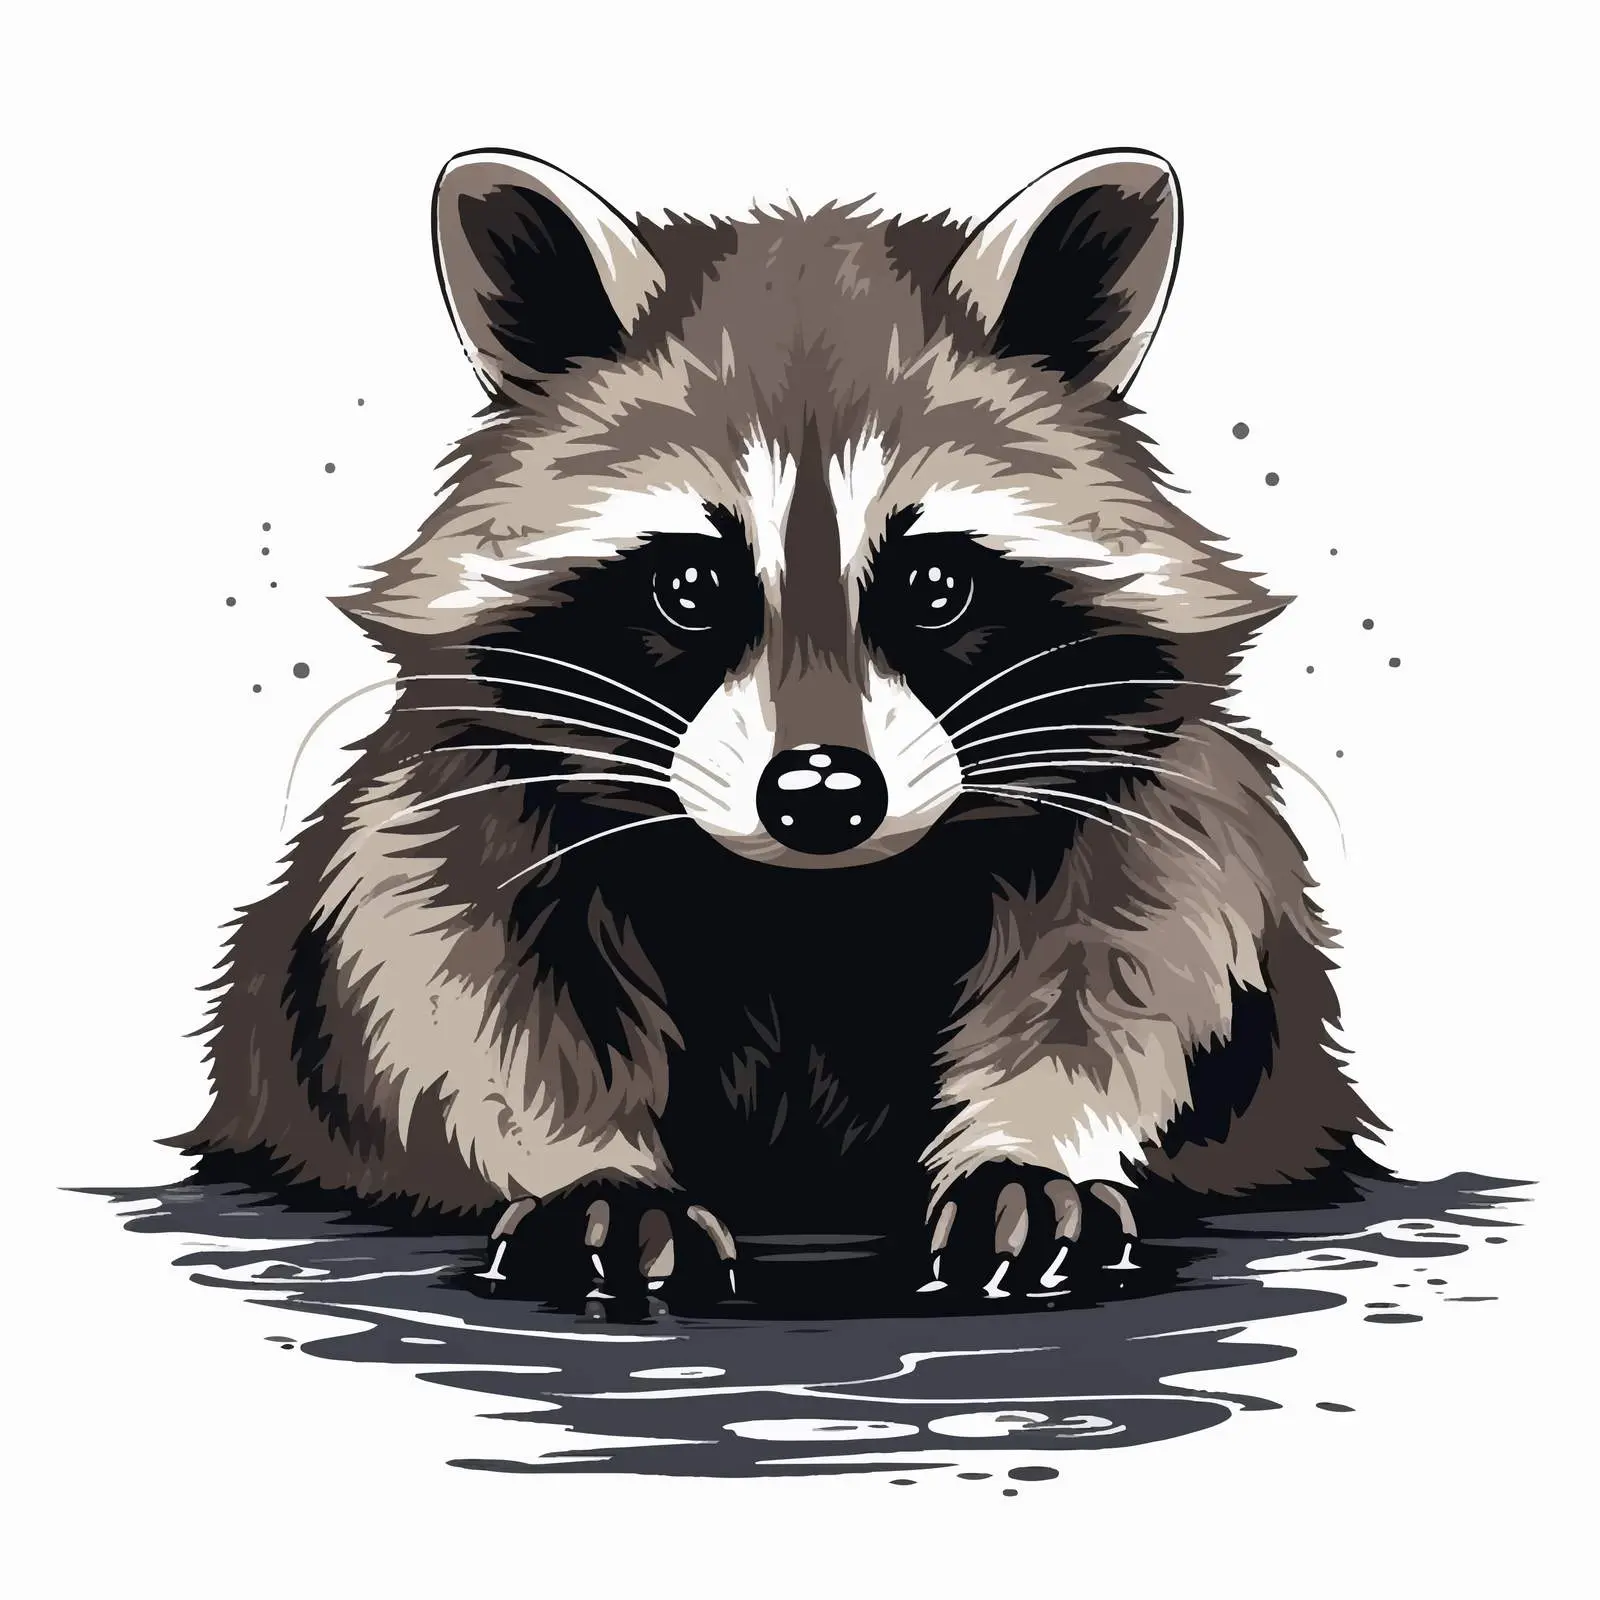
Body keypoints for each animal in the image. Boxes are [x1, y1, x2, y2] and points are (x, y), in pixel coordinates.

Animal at [178, 147, 1383, 1301]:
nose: (820, 792)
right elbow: (452, 968)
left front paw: (1032, 1145)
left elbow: (1138, 955)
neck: (812, 905)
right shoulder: (475, 777)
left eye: (935, 584)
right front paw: (584, 1165)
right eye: (691, 586)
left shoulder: (1147, 785)